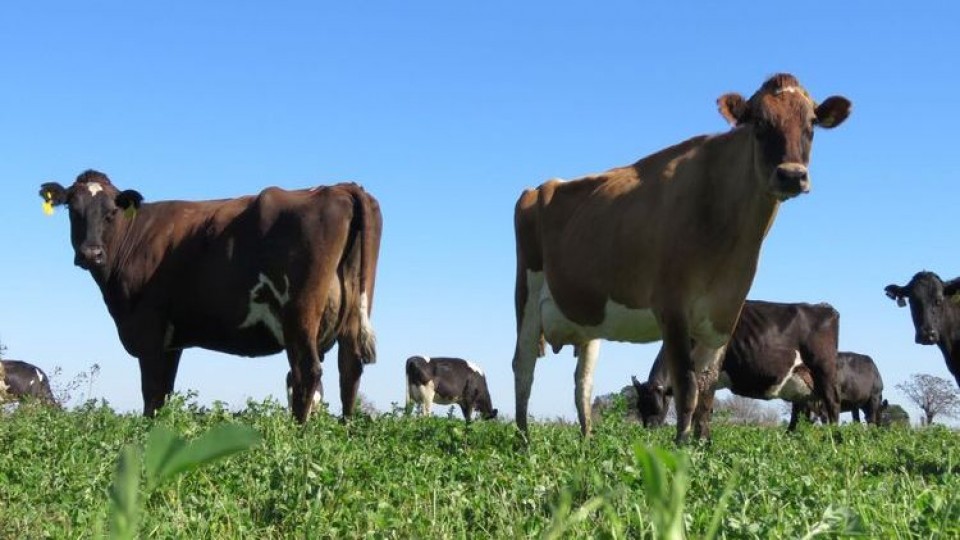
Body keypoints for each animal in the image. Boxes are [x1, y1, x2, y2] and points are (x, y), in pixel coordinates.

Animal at [39, 169, 380, 422]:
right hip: (352, 311)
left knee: (307, 372)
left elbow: (151, 394)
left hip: (300, 314)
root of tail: (340, 188)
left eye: (111, 212)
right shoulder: (171, 341)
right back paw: (344, 431)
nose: (91, 253)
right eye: (73, 210)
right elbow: (164, 393)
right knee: (349, 367)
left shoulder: (149, 331)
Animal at [632, 300, 836, 434]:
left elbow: (701, 411)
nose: (647, 434)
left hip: (825, 373)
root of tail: (823, 306)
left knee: (831, 407)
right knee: (800, 414)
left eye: (657, 407)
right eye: (639, 407)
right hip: (800, 382)